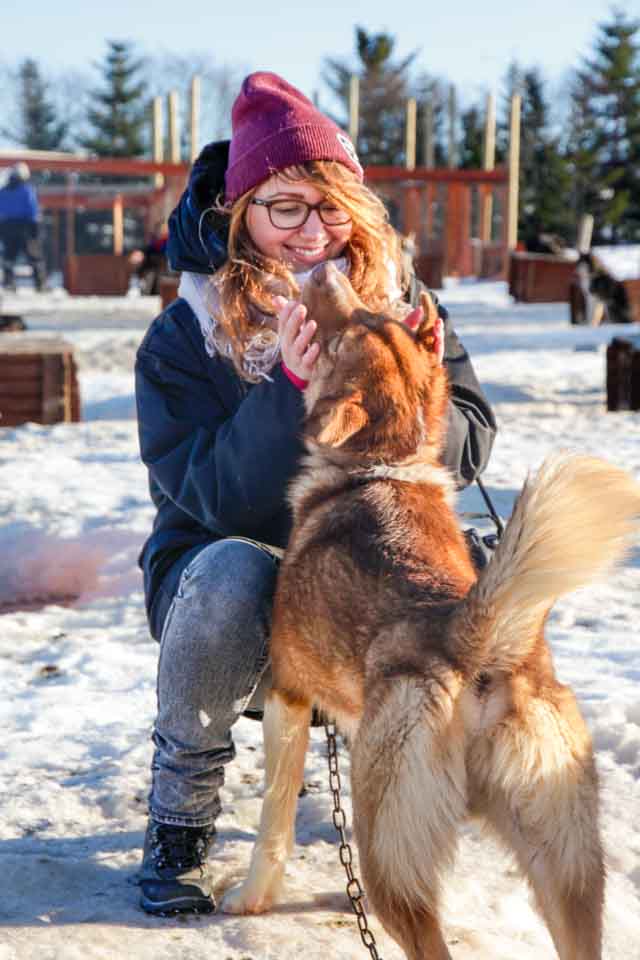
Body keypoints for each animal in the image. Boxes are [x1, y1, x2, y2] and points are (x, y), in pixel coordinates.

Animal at [221, 260, 640, 960]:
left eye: (346, 332)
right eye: (373, 317)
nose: (326, 267)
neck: (383, 465)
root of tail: (473, 638)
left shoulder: (288, 696)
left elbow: (272, 824)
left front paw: (253, 898)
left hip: (391, 856)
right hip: (567, 870)